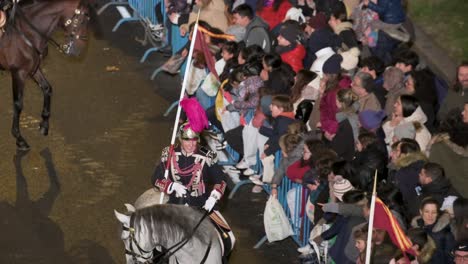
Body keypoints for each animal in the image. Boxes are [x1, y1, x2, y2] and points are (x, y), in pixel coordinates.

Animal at [0, 0, 93, 150]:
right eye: (84, 19)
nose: (79, 50)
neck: (27, 33)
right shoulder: (18, 72)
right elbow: (18, 104)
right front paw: (19, 139)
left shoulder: (33, 69)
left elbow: (47, 88)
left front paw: (44, 124)